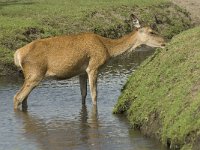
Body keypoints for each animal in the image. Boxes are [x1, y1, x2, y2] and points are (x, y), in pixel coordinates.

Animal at [12, 14, 166, 110]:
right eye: (151, 31)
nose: (164, 42)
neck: (108, 49)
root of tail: (17, 54)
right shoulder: (93, 66)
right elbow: (94, 94)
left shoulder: (81, 72)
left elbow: (83, 94)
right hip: (35, 73)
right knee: (17, 97)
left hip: (31, 75)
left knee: (24, 99)